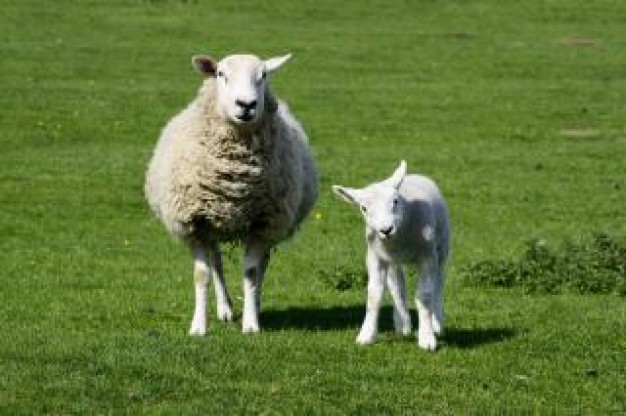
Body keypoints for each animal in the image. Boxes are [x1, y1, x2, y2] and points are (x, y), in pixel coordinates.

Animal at [145, 52, 316, 334]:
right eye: (221, 74)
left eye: (263, 75)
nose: (246, 104)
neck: (235, 179)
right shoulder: (194, 223)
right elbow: (201, 274)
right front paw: (198, 327)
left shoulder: (263, 223)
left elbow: (252, 273)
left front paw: (251, 324)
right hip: (212, 226)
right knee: (216, 262)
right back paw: (224, 309)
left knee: (262, 265)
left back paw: (254, 305)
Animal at [332, 161, 448, 350]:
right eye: (363, 208)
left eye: (395, 201)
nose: (386, 230)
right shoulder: (376, 258)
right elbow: (373, 295)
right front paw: (366, 335)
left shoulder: (427, 257)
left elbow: (424, 295)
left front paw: (427, 338)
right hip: (392, 261)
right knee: (397, 286)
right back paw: (403, 324)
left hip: (442, 248)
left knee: (439, 282)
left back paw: (437, 322)